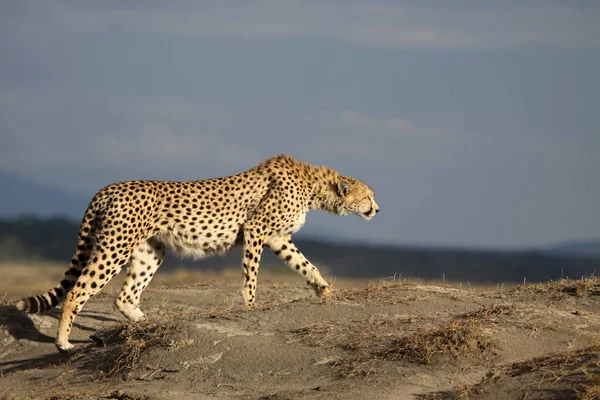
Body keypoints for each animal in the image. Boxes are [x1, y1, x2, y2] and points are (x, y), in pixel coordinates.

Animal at [12, 155, 380, 352]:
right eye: (368, 196)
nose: (378, 209)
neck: (314, 187)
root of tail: (108, 188)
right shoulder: (257, 231)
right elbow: (251, 275)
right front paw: (251, 306)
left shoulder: (278, 238)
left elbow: (306, 265)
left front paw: (324, 290)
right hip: (115, 248)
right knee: (76, 292)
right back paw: (63, 343)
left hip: (150, 252)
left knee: (124, 296)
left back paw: (148, 322)